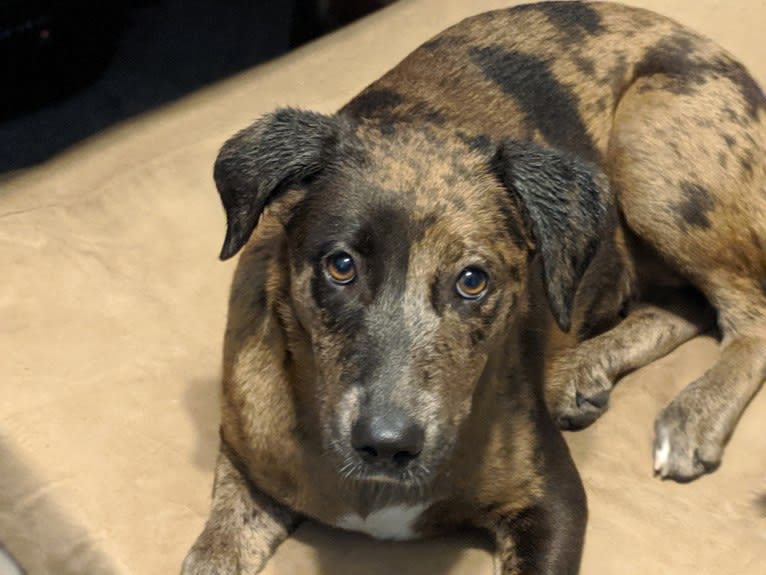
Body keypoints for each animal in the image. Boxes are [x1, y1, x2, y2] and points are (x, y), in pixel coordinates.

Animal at [183, 2, 764, 572]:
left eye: (472, 280)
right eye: (341, 266)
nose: (387, 446)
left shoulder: (553, 504)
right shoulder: (244, 461)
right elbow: (214, 551)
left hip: (651, 150)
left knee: (748, 314)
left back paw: (692, 414)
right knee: (688, 305)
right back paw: (582, 371)